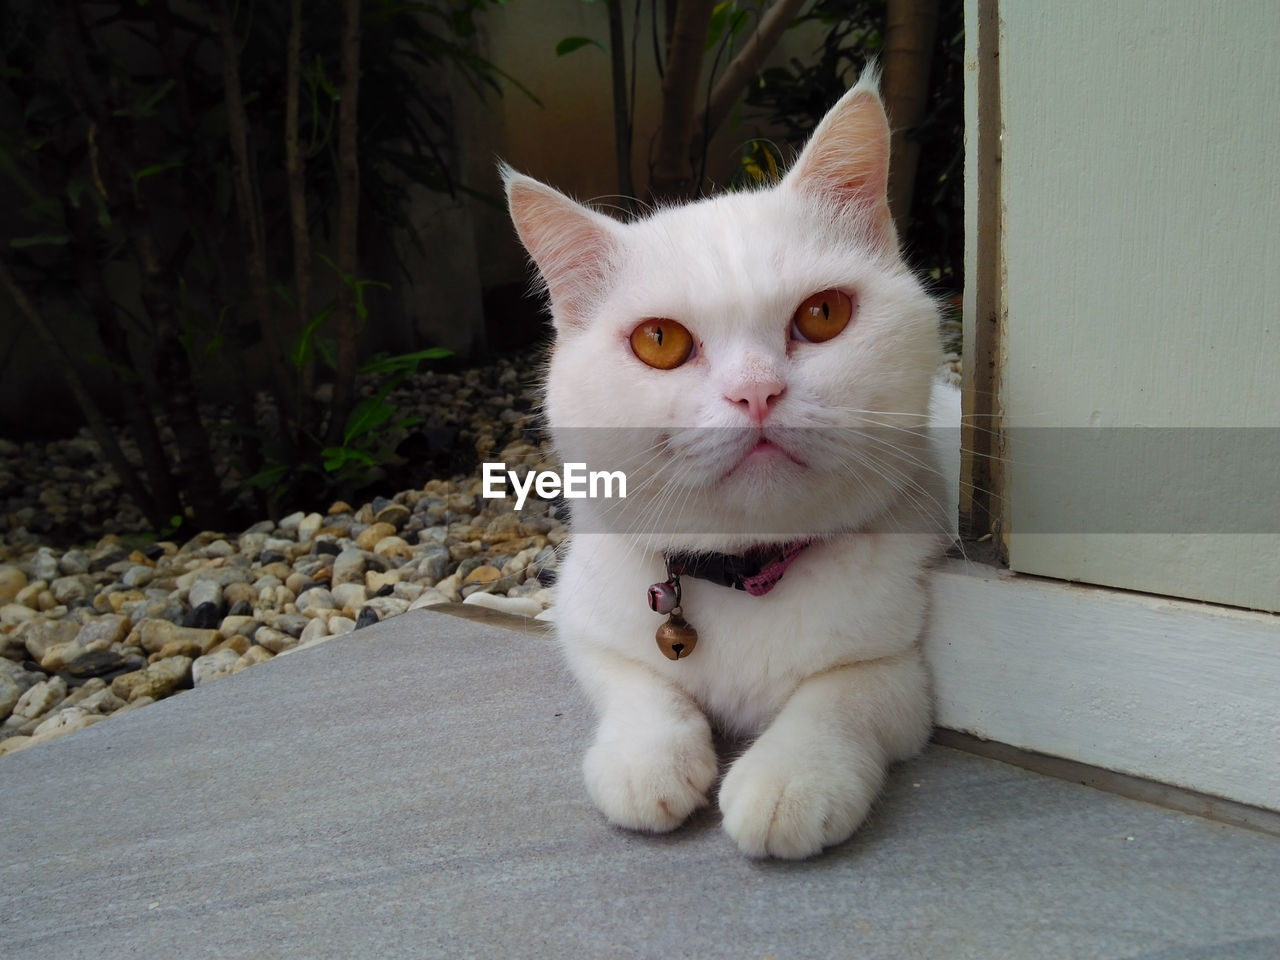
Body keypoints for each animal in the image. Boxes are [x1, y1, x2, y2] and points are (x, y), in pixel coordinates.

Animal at [504, 71, 957, 860]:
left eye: (824, 314)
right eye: (658, 340)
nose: (756, 391)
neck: (746, 573)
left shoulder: (901, 671)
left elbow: (839, 699)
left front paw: (788, 780)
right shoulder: (585, 625)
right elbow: (638, 687)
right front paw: (646, 763)